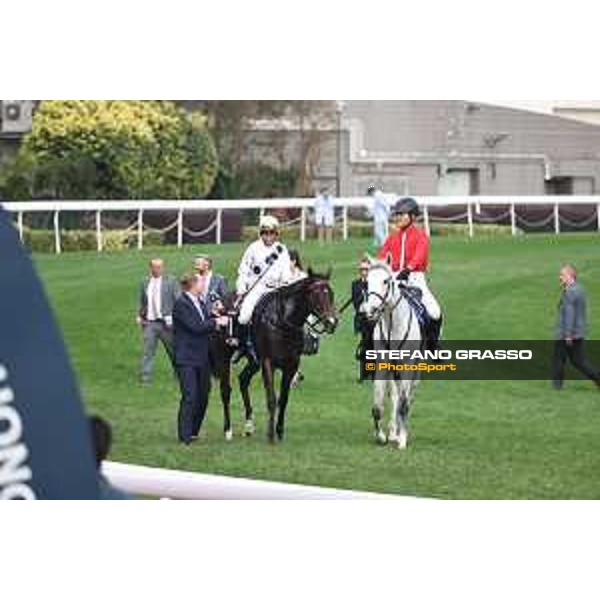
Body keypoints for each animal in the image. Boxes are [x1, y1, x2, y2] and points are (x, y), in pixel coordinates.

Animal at [360, 258, 422, 450]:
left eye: (386, 281)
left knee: (407, 399)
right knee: (395, 397)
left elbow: (404, 404)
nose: (369, 310)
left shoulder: (408, 367)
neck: (394, 324)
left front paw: (402, 440)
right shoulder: (382, 366)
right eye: (367, 281)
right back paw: (393, 432)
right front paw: (381, 436)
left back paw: (400, 433)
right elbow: (377, 406)